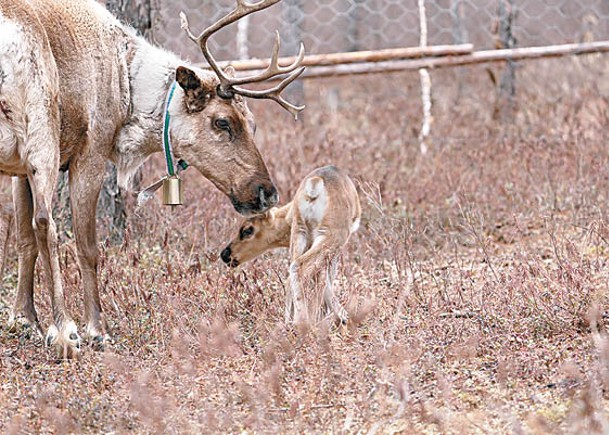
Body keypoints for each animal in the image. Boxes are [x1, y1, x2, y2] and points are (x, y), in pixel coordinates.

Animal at [221, 167, 358, 324]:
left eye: (247, 229)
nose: (225, 254)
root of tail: (314, 185)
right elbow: (327, 277)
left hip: (300, 232)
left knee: (292, 273)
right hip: (331, 236)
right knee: (300, 268)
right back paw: (305, 321)